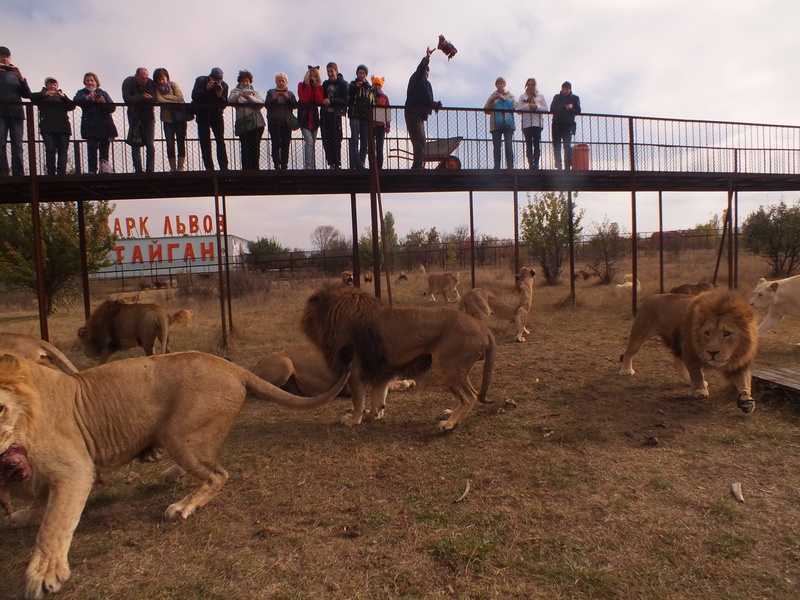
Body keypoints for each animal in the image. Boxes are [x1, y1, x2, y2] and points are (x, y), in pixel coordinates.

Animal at [0, 352, 350, 600]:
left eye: (0, 408)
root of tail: (233, 368)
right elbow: (41, 504)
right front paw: (24, 516)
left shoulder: (75, 470)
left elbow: (54, 524)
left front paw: (44, 574)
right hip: (185, 436)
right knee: (208, 462)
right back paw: (170, 474)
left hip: (179, 435)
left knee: (217, 474)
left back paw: (183, 506)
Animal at [620, 290, 760, 412]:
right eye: (707, 333)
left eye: (727, 333)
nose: (712, 353)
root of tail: (651, 296)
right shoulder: (690, 351)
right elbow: (696, 372)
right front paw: (699, 390)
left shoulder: (739, 363)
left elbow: (744, 381)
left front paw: (747, 400)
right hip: (639, 334)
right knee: (628, 352)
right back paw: (626, 370)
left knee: (678, 364)